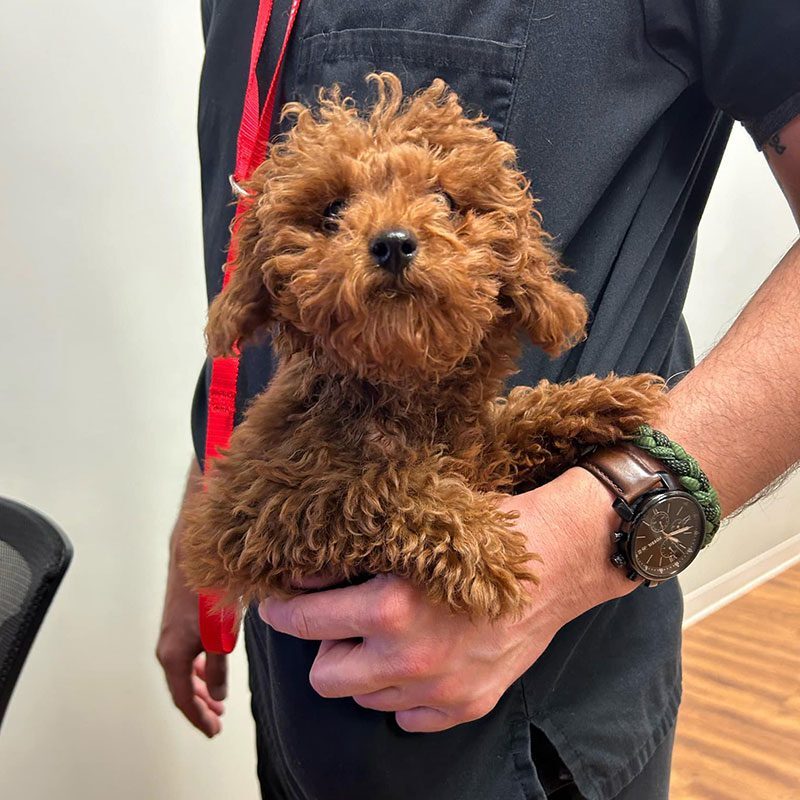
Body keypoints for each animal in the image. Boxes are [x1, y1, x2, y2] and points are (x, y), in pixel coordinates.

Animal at [183, 72, 668, 616]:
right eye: (333, 210)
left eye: (447, 202)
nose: (393, 243)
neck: (400, 390)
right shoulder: (246, 513)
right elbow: (362, 485)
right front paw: (479, 541)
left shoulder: (479, 452)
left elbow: (516, 421)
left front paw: (601, 399)